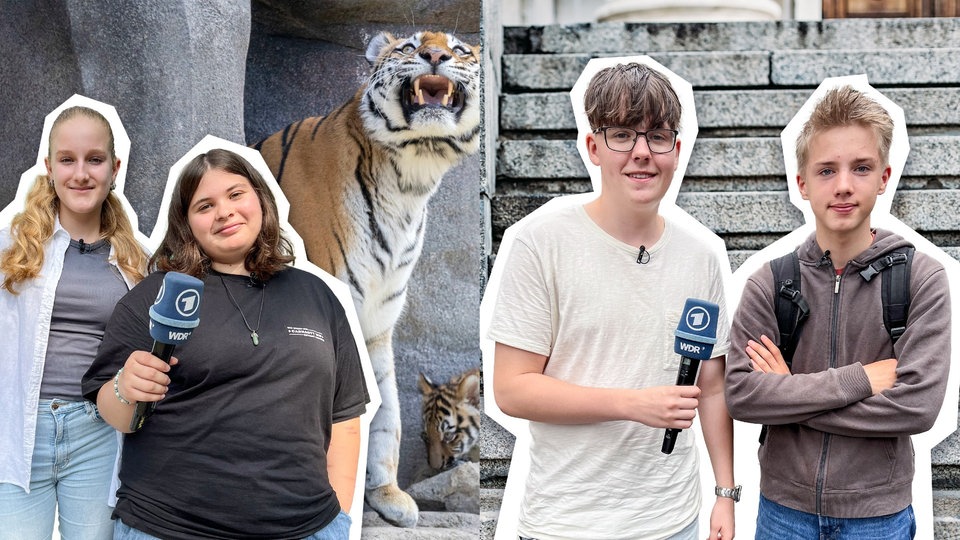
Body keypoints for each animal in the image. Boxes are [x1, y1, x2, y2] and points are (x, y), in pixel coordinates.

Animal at [253, 29, 480, 528]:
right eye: (410, 47)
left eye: (459, 50)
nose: (435, 55)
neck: (410, 179)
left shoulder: (377, 320)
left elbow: (386, 410)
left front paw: (386, 493)